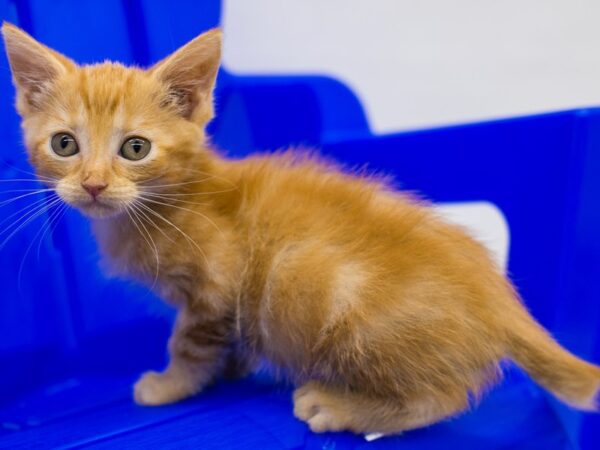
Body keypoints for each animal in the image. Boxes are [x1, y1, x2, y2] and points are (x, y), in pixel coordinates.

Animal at [2, 22, 596, 436]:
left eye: (135, 148)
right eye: (64, 144)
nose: (94, 185)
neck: (167, 203)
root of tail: (501, 299)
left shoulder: (214, 287)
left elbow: (188, 344)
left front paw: (168, 386)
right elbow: (228, 340)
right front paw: (232, 366)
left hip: (308, 277)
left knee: (443, 396)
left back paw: (343, 406)